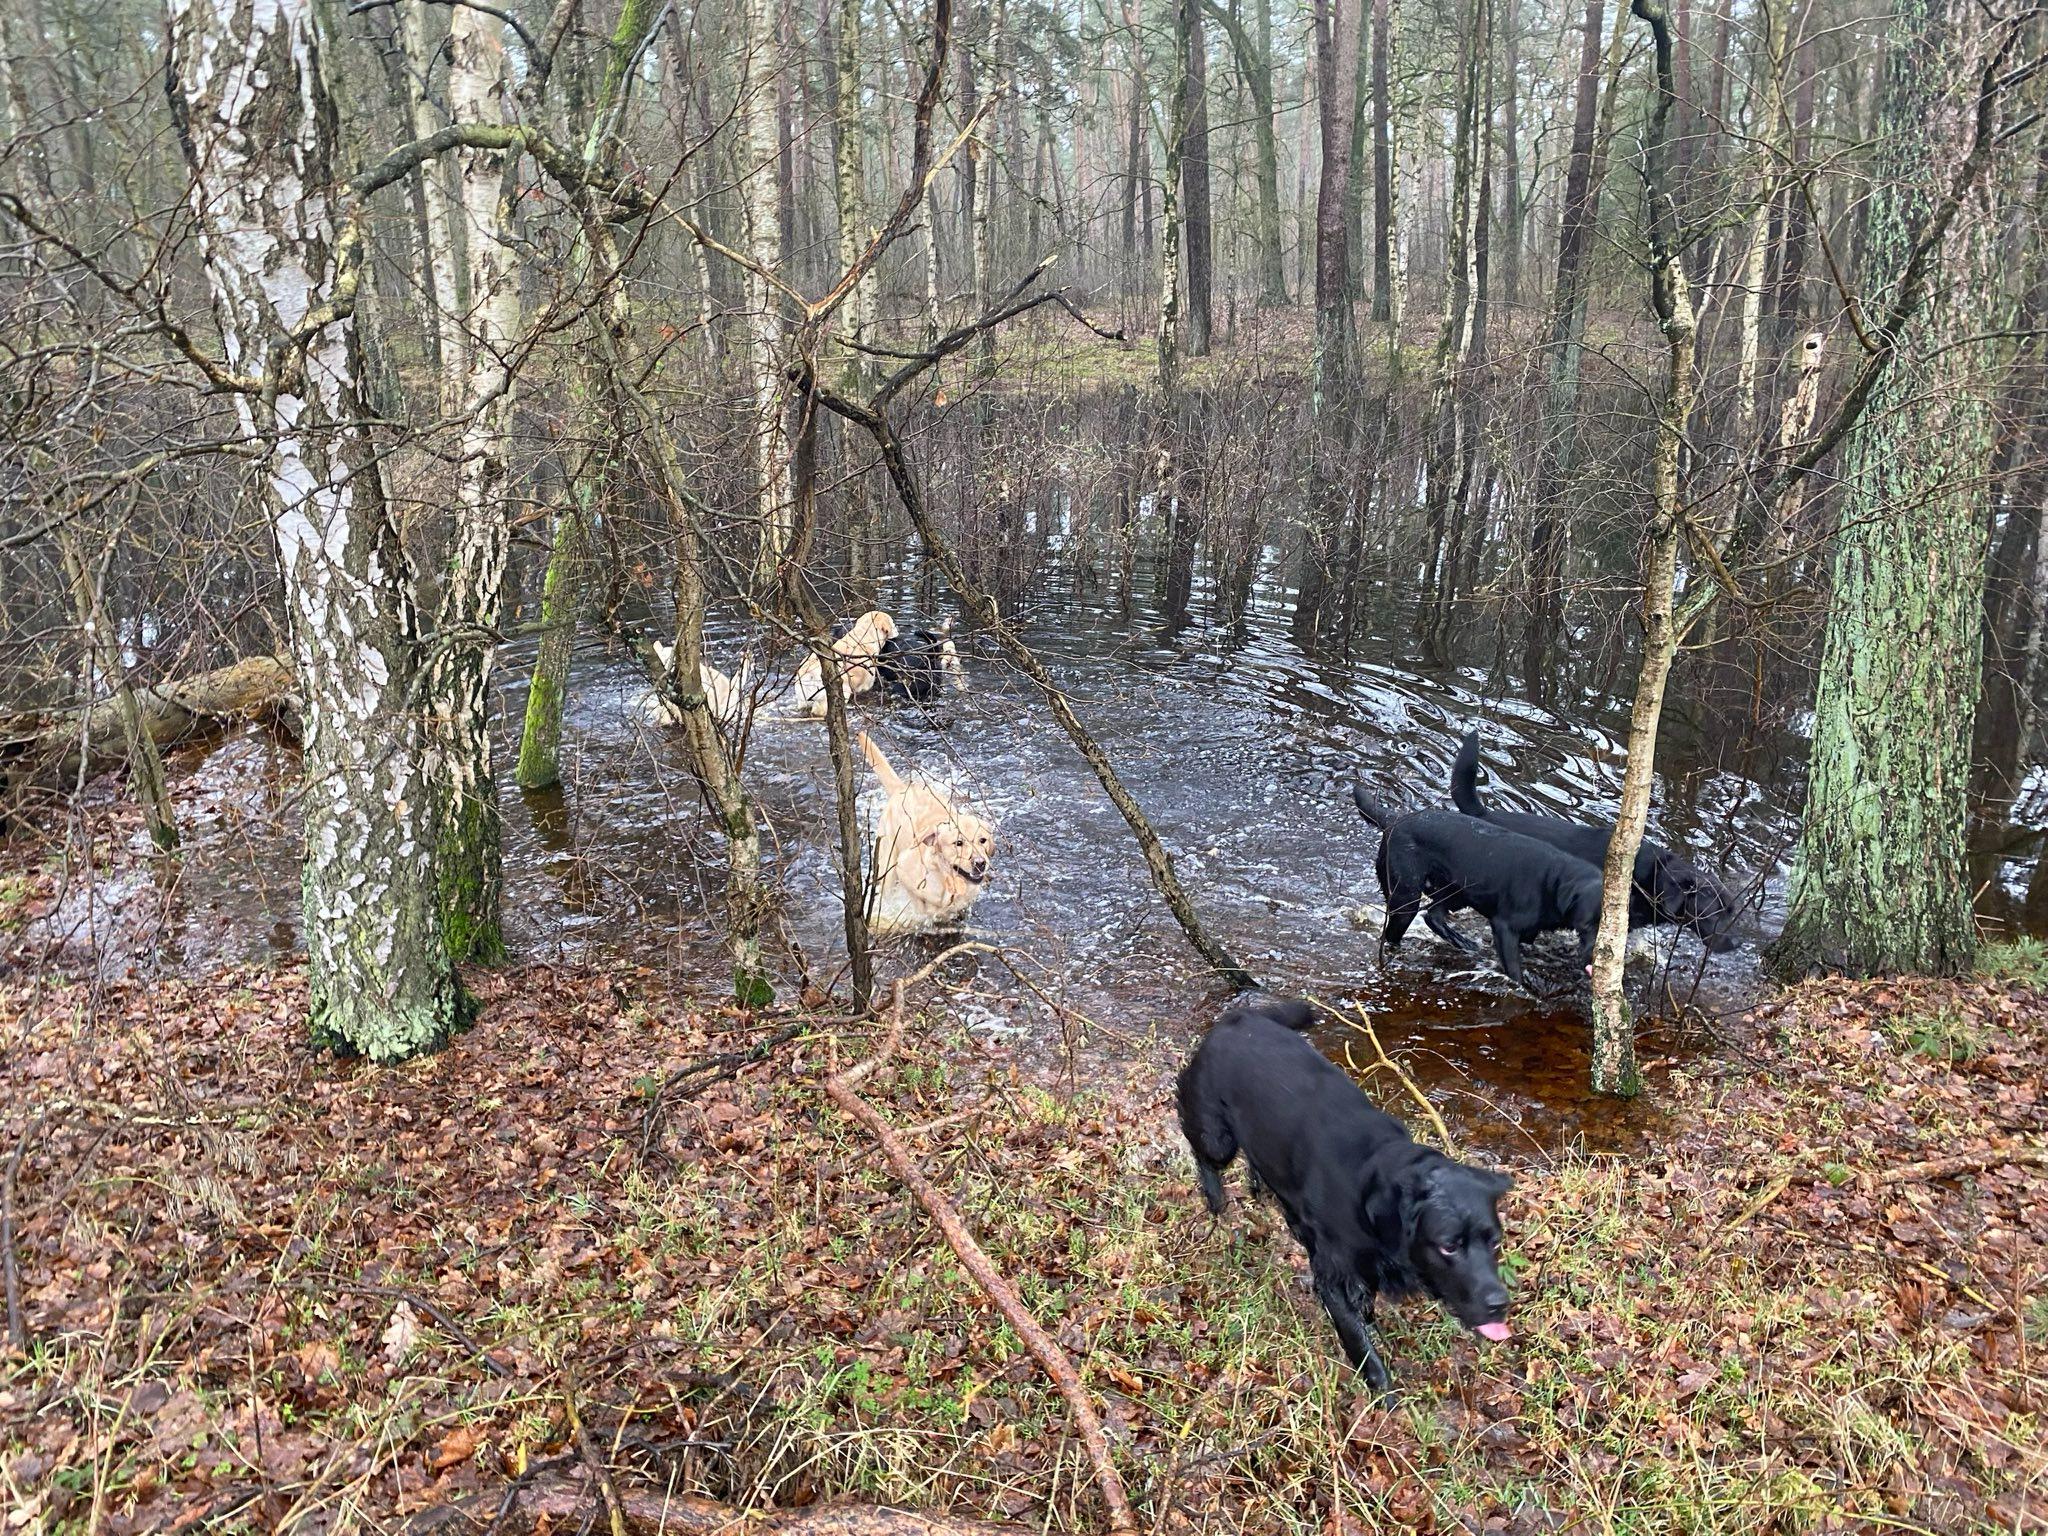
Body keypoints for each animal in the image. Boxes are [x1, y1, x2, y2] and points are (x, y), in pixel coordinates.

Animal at [1179, 999, 1515, 1392]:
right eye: (1449, 1246)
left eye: (1495, 1242)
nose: (1500, 1305)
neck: (1370, 1194)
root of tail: (1239, 1018)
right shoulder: (1334, 1276)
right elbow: (1358, 1341)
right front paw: (1382, 1390)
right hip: (1217, 1138)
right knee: (1203, 1154)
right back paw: (1216, 1200)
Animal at [1351, 786, 1605, 991]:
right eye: (1586, 926)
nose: (1595, 959)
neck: (1553, 882)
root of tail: (1393, 818)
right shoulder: (1505, 927)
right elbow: (1514, 970)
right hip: (1407, 896)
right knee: (1401, 928)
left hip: (1457, 889)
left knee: (1433, 914)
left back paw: (1460, 941)